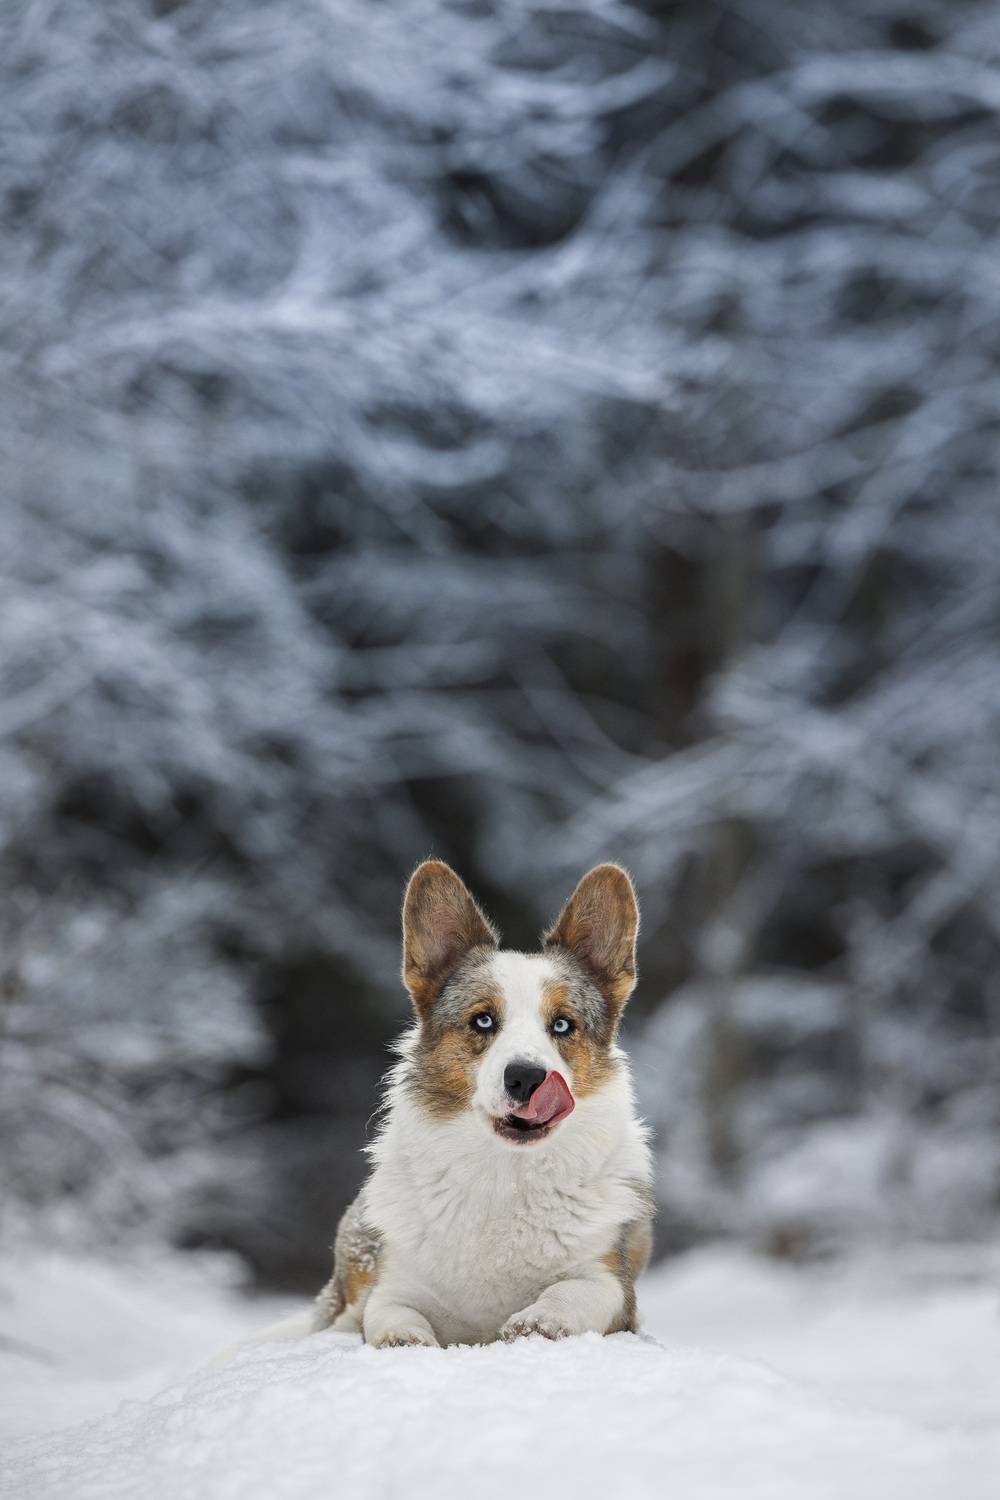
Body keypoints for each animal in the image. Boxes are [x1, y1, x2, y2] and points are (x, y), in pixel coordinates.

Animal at [312, 859, 652, 1348]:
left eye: (562, 1025)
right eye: (483, 1020)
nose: (526, 1077)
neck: (505, 1173)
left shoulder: (611, 1284)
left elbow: (573, 1291)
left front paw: (537, 1321)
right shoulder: (395, 1287)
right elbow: (391, 1314)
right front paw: (406, 1340)